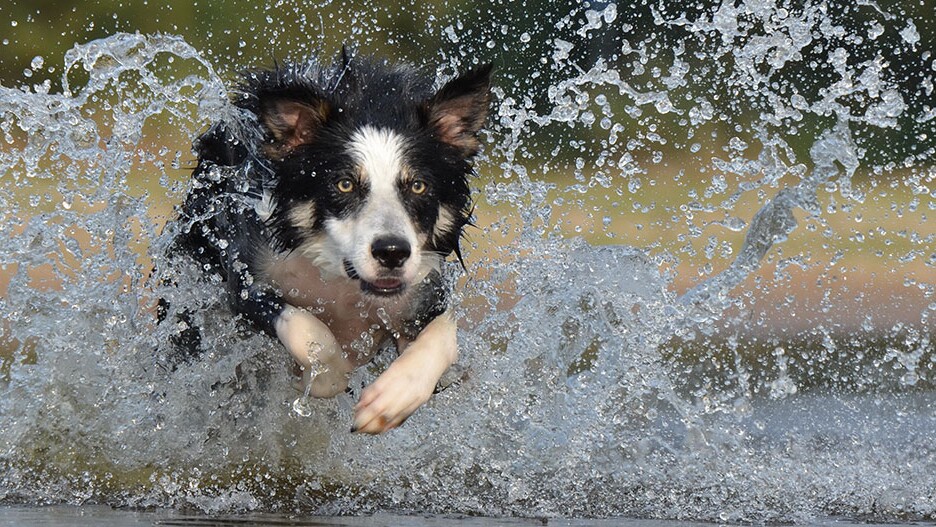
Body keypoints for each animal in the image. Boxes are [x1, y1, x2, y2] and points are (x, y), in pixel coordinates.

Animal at [165, 51, 494, 436]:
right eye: (344, 184)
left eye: (418, 186)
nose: (392, 252)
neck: (340, 278)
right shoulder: (247, 277)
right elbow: (311, 332)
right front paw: (324, 376)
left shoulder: (423, 290)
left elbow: (444, 334)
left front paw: (392, 398)